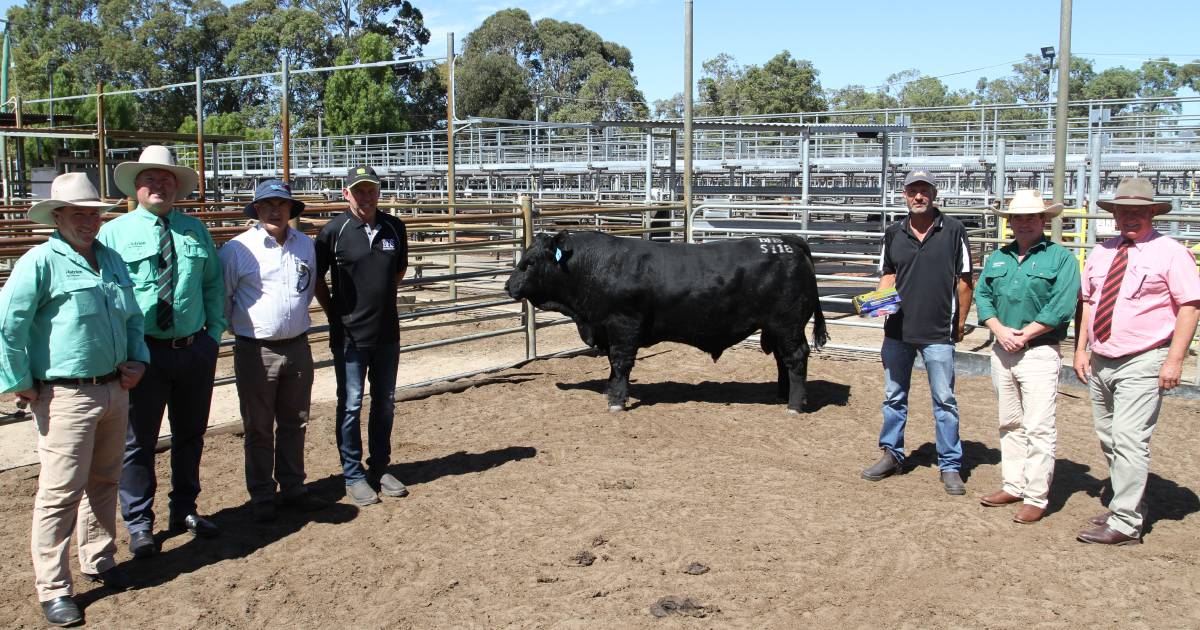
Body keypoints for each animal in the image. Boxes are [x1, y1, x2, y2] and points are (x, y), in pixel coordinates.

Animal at [501, 230, 830, 412]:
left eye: (529, 262)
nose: (508, 286)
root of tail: (788, 241)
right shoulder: (606, 328)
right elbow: (612, 364)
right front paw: (610, 390)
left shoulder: (623, 325)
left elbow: (621, 362)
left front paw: (617, 401)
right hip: (776, 328)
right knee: (782, 360)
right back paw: (782, 395)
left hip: (788, 325)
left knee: (796, 357)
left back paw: (794, 405)